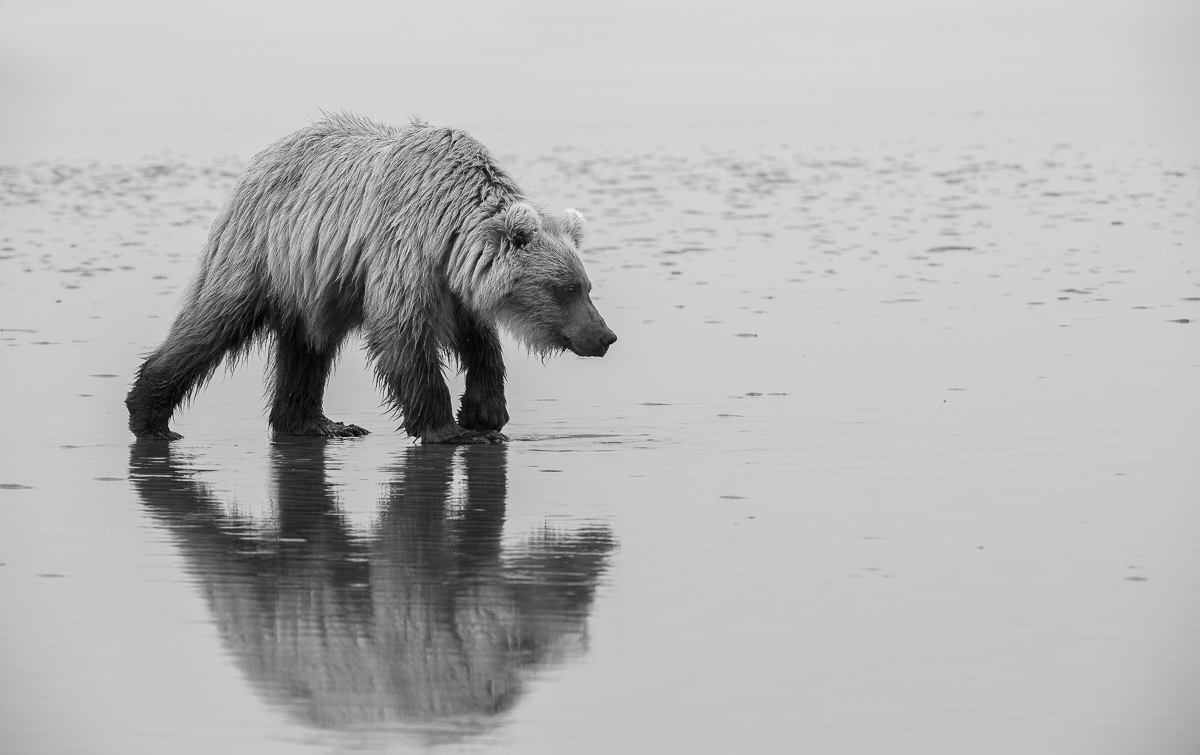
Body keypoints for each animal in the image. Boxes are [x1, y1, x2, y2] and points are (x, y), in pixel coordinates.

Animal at [125, 114, 617, 444]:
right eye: (566, 289)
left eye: (587, 286)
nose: (605, 336)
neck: (448, 230)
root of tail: (260, 160)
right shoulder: (403, 251)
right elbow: (403, 333)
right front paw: (449, 429)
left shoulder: (455, 285)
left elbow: (479, 341)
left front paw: (485, 413)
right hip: (261, 252)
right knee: (213, 322)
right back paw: (149, 416)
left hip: (316, 283)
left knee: (307, 345)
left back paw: (318, 423)